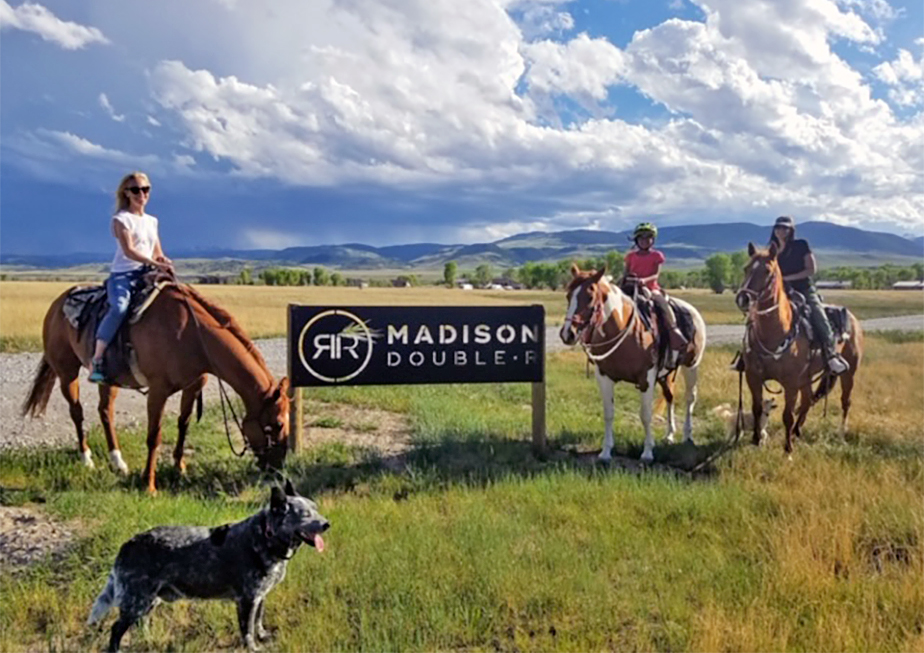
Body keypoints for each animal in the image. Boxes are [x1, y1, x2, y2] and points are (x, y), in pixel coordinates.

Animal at [22, 282, 288, 492]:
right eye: (276, 424)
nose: (278, 470)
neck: (192, 335)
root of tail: (58, 303)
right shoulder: (158, 392)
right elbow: (154, 436)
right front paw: (149, 484)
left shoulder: (193, 386)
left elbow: (184, 424)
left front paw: (179, 466)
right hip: (67, 372)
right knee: (77, 413)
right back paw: (86, 458)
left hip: (108, 379)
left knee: (105, 412)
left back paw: (118, 462)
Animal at [86, 482, 330, 648]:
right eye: (305, 514)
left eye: (316, 508)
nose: (327, 524)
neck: (265, 537)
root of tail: (128, 544)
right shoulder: (247, 599)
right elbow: (248, 630)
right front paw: (252, 646)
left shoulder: (261, 596)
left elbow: (258, 622)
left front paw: (263, 636)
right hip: (136, 601)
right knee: (116, 629)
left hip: (149, 600)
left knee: (142, 623)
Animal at [556, 262, 708, 460]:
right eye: (568, 295)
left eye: (589, 297)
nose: (568, 334)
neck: (624, 331)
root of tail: (692, 310)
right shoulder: (604, 377)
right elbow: (608, 413)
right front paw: (605, 452)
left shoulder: (646, 379)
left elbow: (645, 415)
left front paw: (648, 452)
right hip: (666, 373)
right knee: (669, 396)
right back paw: (669, 435)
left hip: (691, 365)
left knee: (690, 398)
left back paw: (687, 435)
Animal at [732, 242, 864, 456]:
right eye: (746, 268)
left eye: (767, 271)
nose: (743, 298)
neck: (775, 333)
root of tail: (852, 319)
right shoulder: (754, 377)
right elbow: (757, 408)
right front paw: (756, 439)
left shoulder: (791, 383)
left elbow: (787, 415)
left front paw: (787, 449)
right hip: (807, 376)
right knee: (808, 400)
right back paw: (797, 431)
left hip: (849, 372)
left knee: (845, 401)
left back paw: (840, 433)